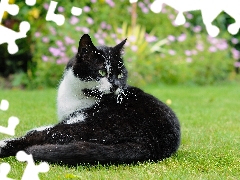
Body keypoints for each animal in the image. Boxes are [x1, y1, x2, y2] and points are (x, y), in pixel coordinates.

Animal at [0, 34, 180, 165]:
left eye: (120, 74)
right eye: (101, 72)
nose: (116, 84)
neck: (77, 93)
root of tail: (153, 144)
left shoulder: (73, 118)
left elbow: (38, 133)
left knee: (41, 137)